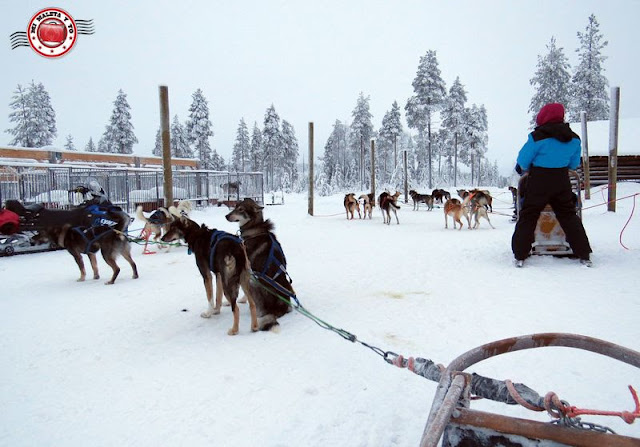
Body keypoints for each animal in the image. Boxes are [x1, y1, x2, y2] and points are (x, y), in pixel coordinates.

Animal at [225, 198, 296, 330]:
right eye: (236, 206)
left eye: (241, 209)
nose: (226, 216)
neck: (254, 229)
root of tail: (276, 310)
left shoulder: (247, 268)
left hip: (254, 283)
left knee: (259, 310)